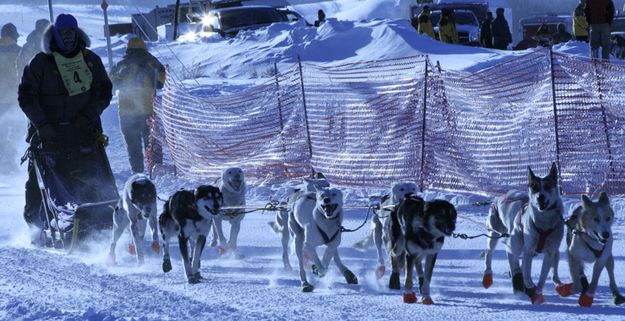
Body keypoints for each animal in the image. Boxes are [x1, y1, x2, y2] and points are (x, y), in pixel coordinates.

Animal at [482, 162, 564, 302]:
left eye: (547, 186)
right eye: (534, 187)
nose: (540, 197)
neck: (544, 224)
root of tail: (501, 196)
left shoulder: (549, 252)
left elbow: (542, 277)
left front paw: (538, 292)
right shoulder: (528, 251)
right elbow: (526, 273)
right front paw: (529, 285)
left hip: (552, 250)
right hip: (495, 234)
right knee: (492, 253)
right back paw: (489, 276)